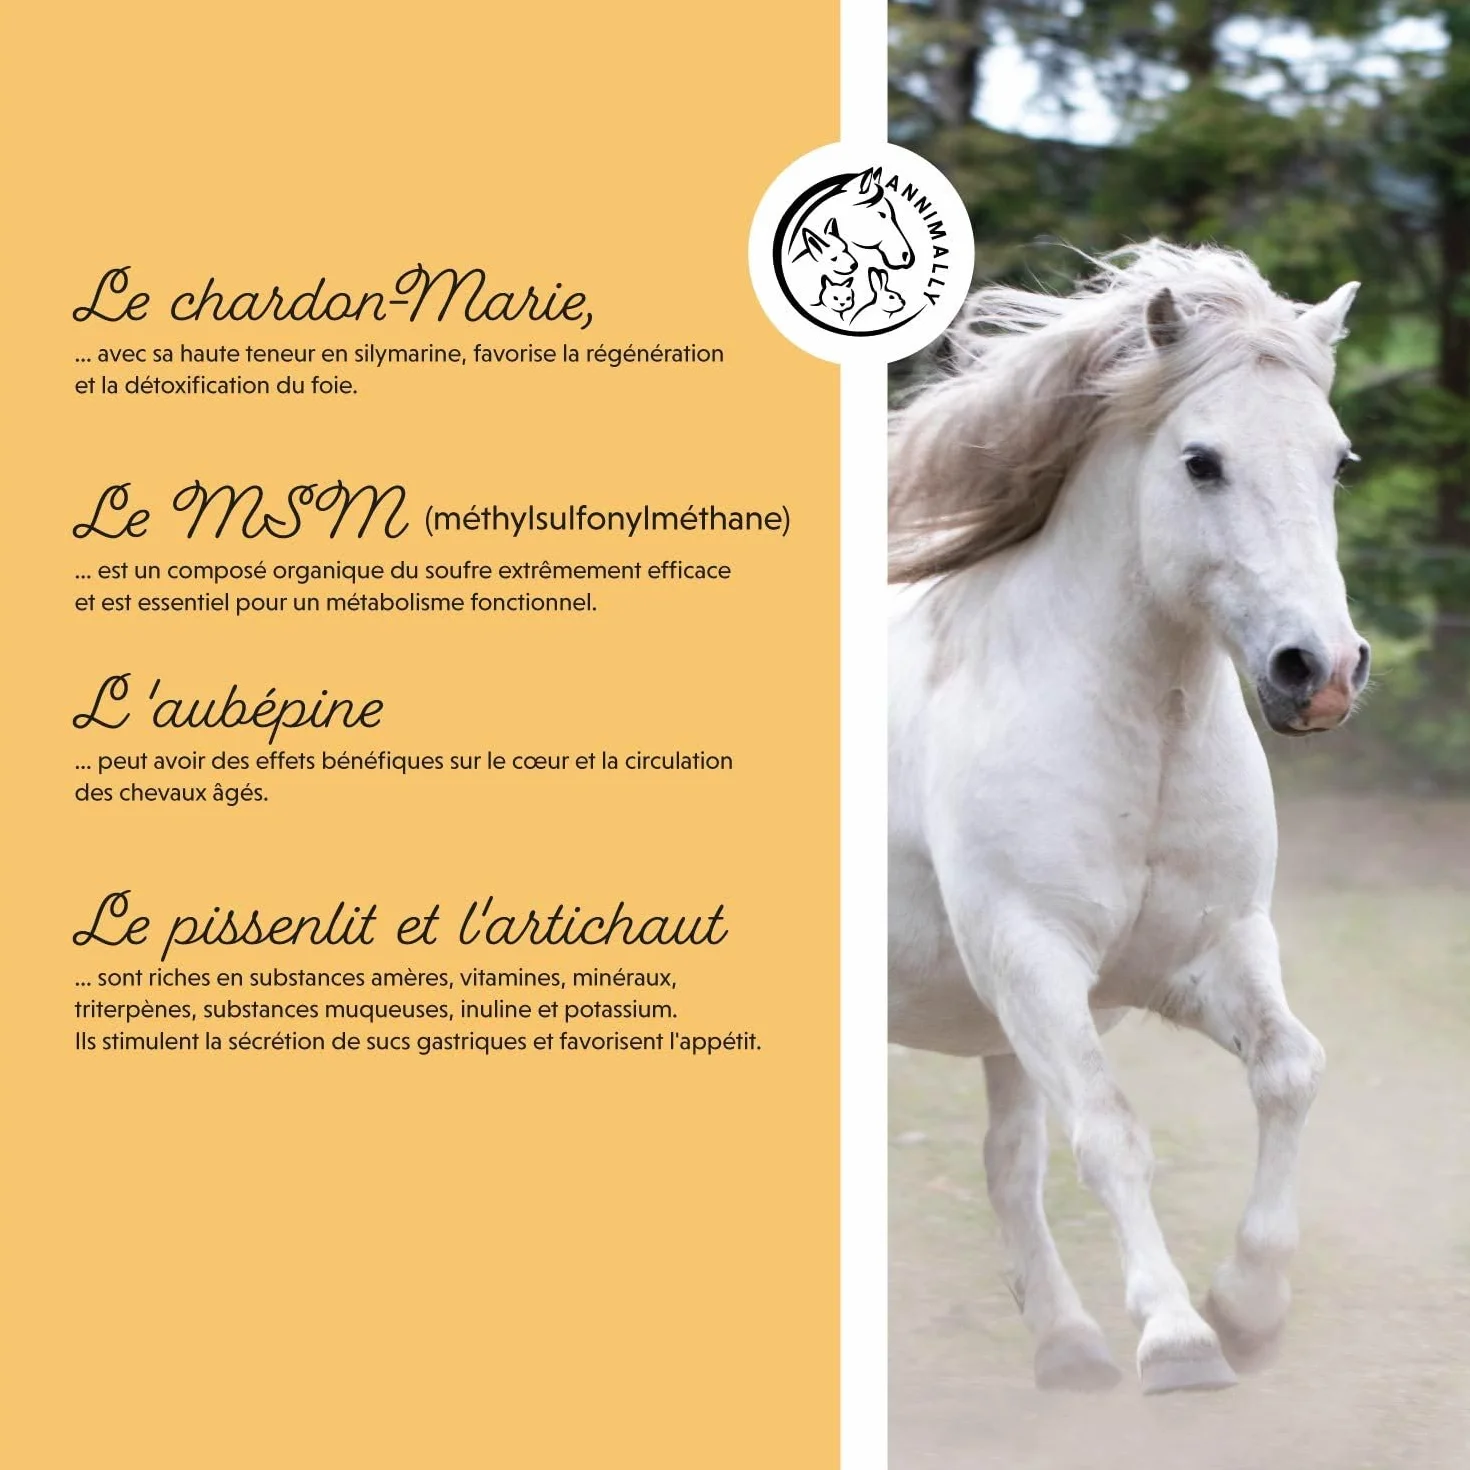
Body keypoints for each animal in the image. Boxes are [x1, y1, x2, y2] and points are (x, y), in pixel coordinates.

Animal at [888, 242, 1369, 1396]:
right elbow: (1110, 1134)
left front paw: (1249, 1307)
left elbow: (1290, 1071)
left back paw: (1067, 1346)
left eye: (1337, 462)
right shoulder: (1035, 960)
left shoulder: (1208, 951)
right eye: (1202, 461)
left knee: (1009, 1165)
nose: (1322, 672)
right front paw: (1180, 1339)